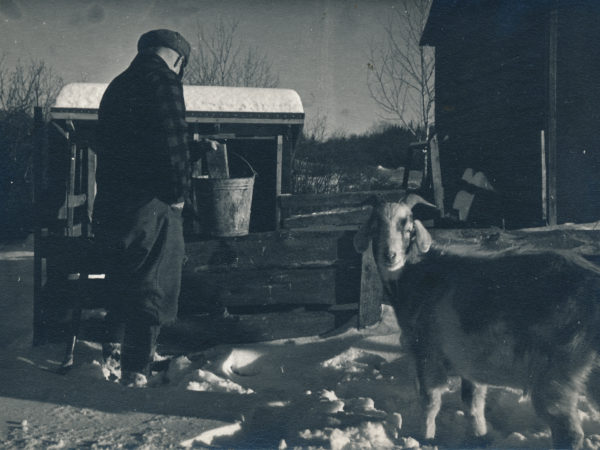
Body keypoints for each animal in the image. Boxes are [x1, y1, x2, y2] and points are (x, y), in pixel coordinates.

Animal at [354, 194, 600, 450]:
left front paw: (426, 438)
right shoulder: (468, 363)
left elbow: (430, 403)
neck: (421, 275)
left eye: (408, 228)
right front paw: (479, 437)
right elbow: (472, 403)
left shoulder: (426, 354)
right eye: (375, 227)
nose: (390, 255)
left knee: (568, 432)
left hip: (556, 370)